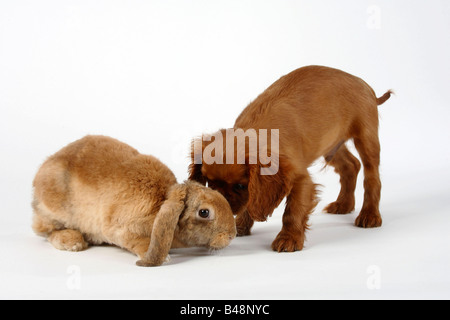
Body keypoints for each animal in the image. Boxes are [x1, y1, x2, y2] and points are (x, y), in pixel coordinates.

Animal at [31, 136, 237, 268]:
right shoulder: (121, 229)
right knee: (46, 231)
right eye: (204, 212)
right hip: (54, 210)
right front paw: (160, 257)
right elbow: (137, 241)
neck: (161, 202)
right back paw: (72, 242)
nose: (232, 235)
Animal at [188, 65, 392, 252]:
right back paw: (343, 205)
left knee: (372, 176)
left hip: (366, 138)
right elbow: (251, 202)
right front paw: (240, 226)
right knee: (351, 165)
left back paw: (370, 215)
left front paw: (289, 239)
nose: (221, 205)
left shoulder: (300, 179)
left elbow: (292, 211)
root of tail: (366, 86)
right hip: (331, 145)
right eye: (210, 183)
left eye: (239, 186)